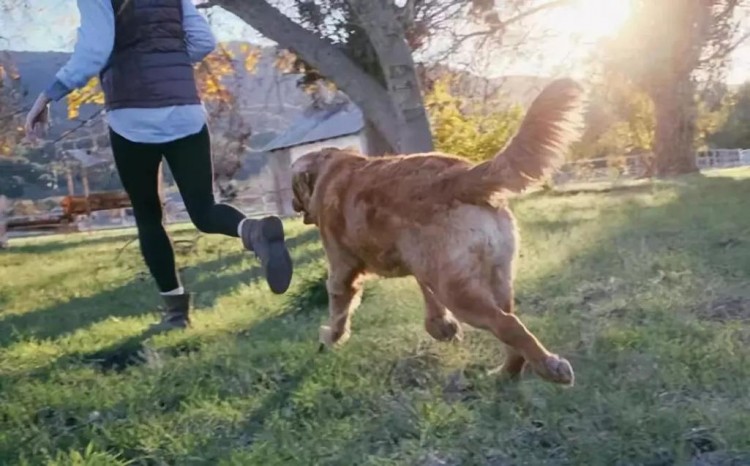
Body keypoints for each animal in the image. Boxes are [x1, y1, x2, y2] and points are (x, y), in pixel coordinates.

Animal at [292, 78, 588, 386]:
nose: (292, 206)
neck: (330, 169)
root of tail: (461, 176)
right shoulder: (421, 264)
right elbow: (427, 294)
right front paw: (441, 327)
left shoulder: (342, 269)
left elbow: (338, 308)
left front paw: (331, 337)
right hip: (494, 276)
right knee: (511, 330)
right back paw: (506, 373)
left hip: (459, 292)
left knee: (508, 324)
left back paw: (550, 367)